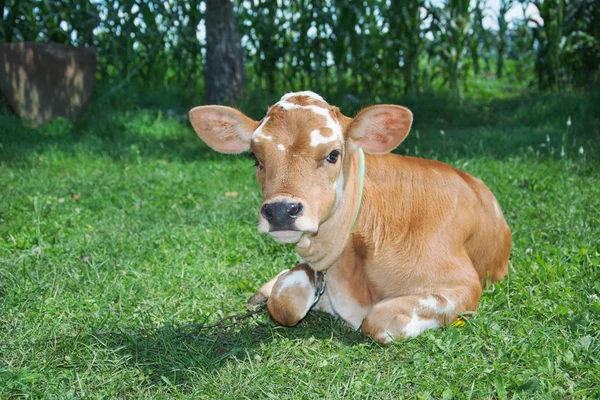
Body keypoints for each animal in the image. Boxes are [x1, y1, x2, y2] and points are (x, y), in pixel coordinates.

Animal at [189, 90, 510, 344]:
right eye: (255, 157)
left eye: (333, 154)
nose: (280, 210)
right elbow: (284, 301)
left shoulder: (462, 285)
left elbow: (379, 321)